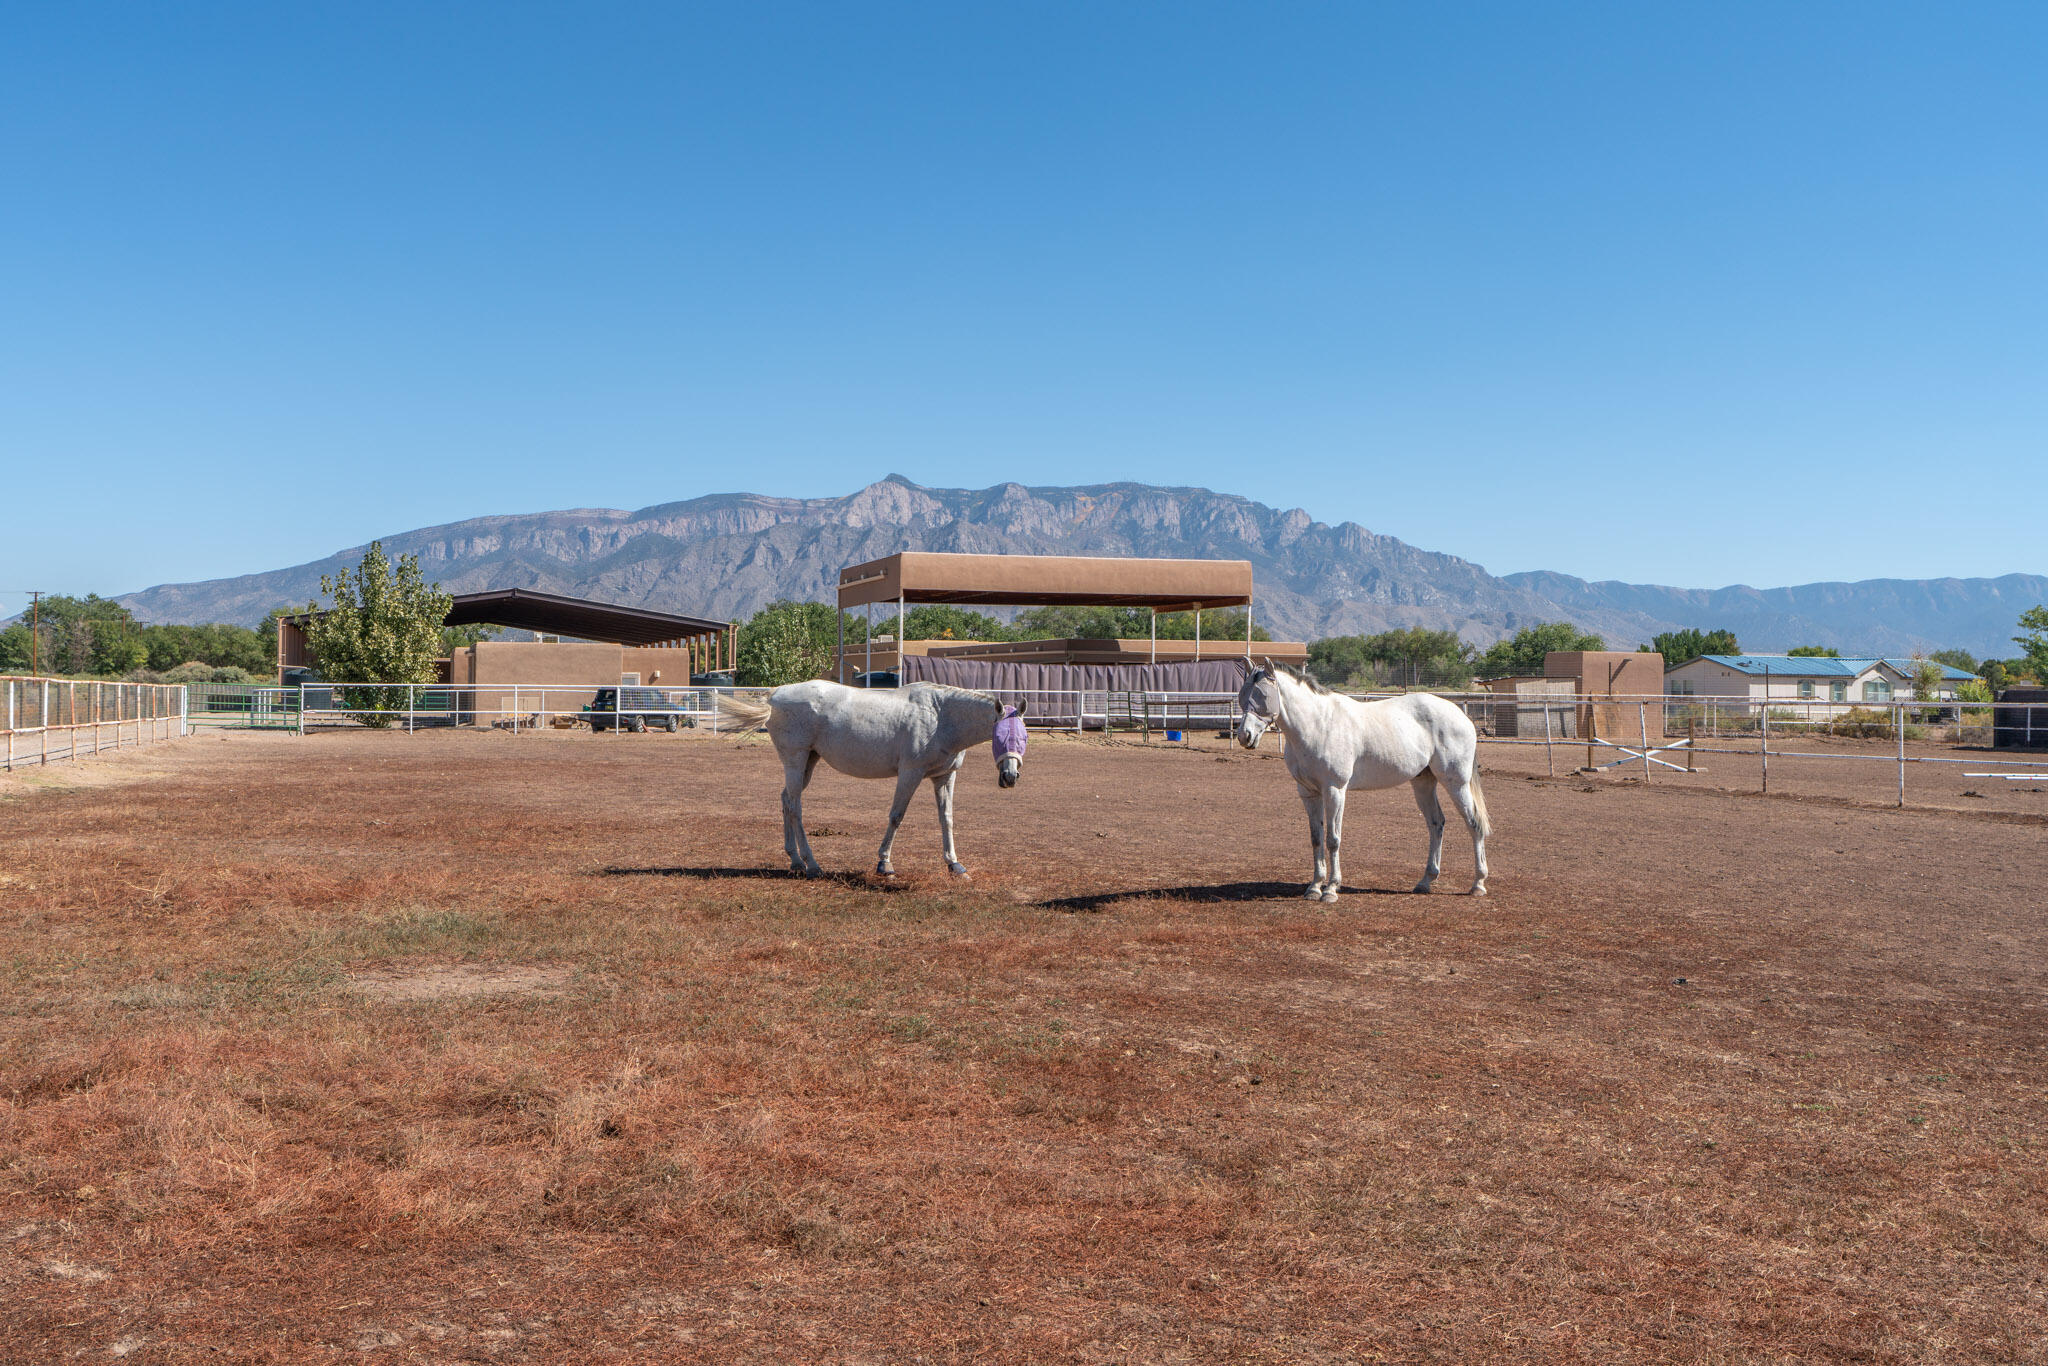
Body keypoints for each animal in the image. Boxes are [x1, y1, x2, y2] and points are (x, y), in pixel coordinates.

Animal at [716, 679, 1024, 876]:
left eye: (1023, 737)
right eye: (1000, 737)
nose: (1010, 777)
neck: (941, 716)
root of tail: (775, 694)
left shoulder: (944, 777)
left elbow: (946, 819)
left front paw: (954, 864)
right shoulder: (910, 773)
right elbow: (896, 816)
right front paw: (884, 864)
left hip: (808, 763)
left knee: (785, 801)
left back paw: (795, 860)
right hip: (795, 759)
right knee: (795, 808)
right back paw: (811, 864)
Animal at [1228, 663, 1490, 901]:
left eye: (1263, 695)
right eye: (1242, 694)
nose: (1244, 736)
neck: (1318, 725)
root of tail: (1461, 715)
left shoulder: (1335, 790)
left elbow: (1333, 839)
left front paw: (1331, 890)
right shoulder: (1308, 793)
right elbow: (1316, 839)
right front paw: (1314, 888)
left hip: (1456, 783)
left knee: (1474, 824)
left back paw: (1478, 884)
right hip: (1423, 783)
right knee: (1436, 824)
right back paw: (1425, 881)